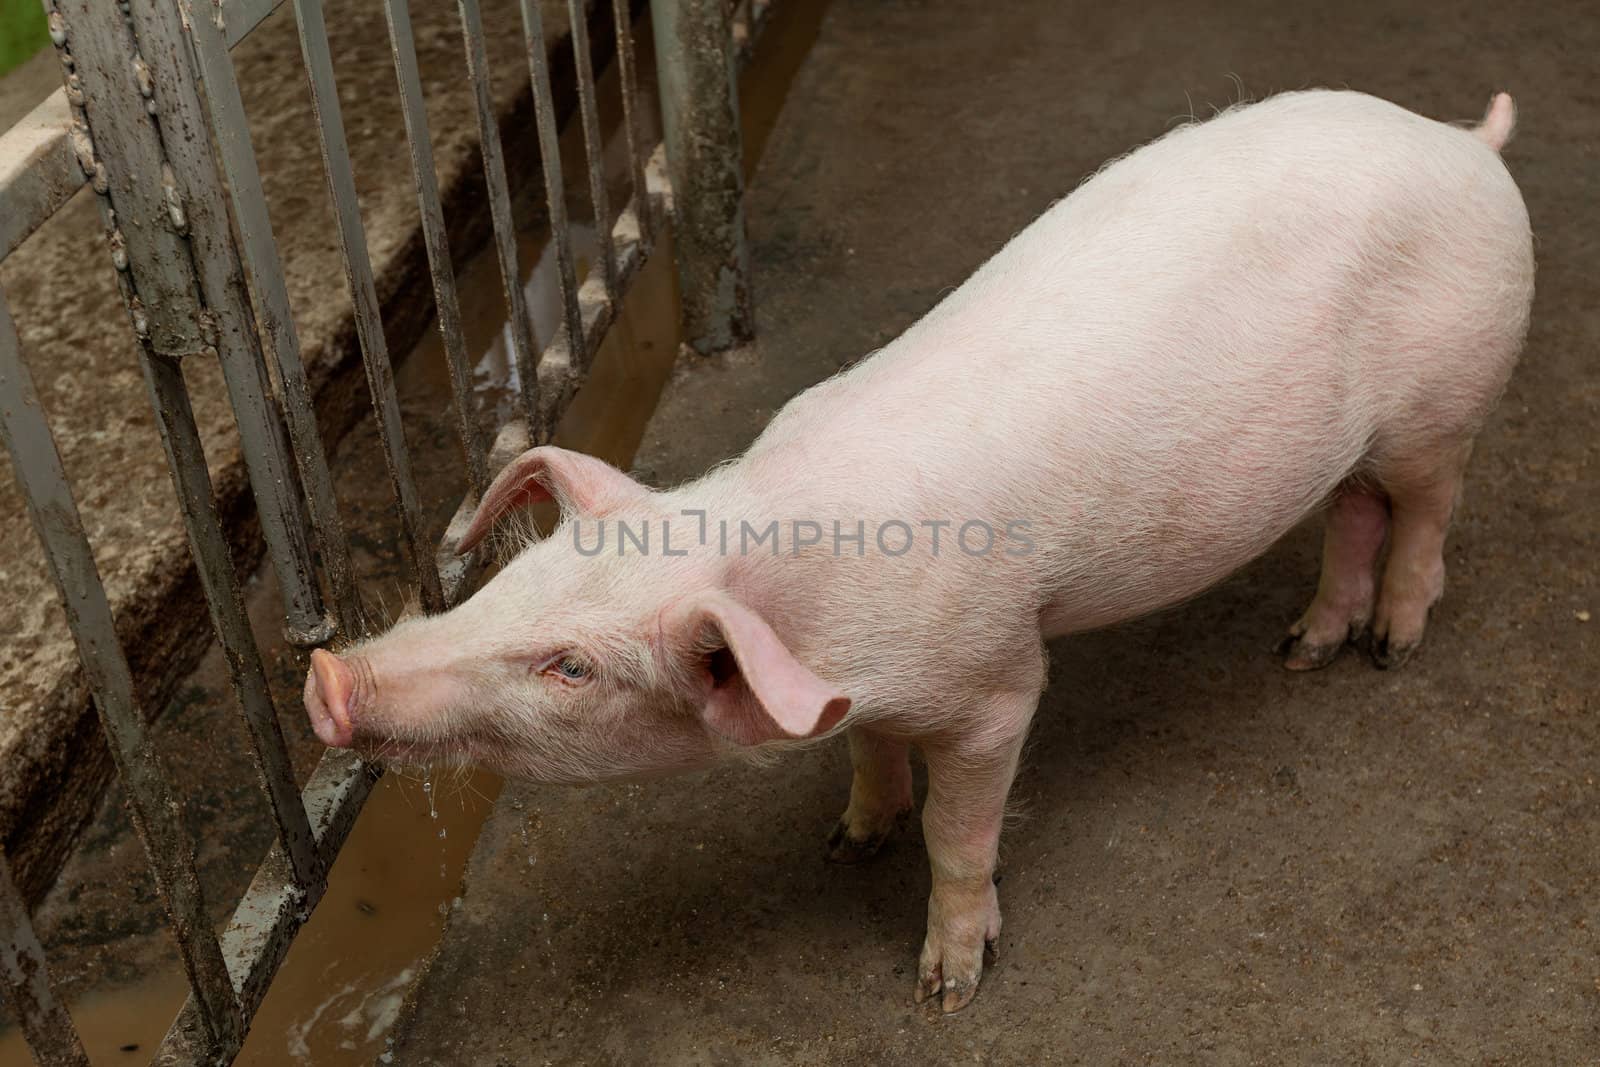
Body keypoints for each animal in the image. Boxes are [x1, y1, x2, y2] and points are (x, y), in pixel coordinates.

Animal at [302, 89, 1536, 1011]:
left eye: (572, 667)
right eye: (514, 581)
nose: (324, 679)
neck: (812, 608)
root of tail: (1464, 142)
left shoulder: (997, 684)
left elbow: (960, 827)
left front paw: (945, 985)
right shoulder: (865, 684)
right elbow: (869, 748)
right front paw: (850, 839)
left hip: (1447, 400)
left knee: (1429, 508)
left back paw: (1389, 648)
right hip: (1354, 447)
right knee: (1357, 510)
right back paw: (1304, 648)